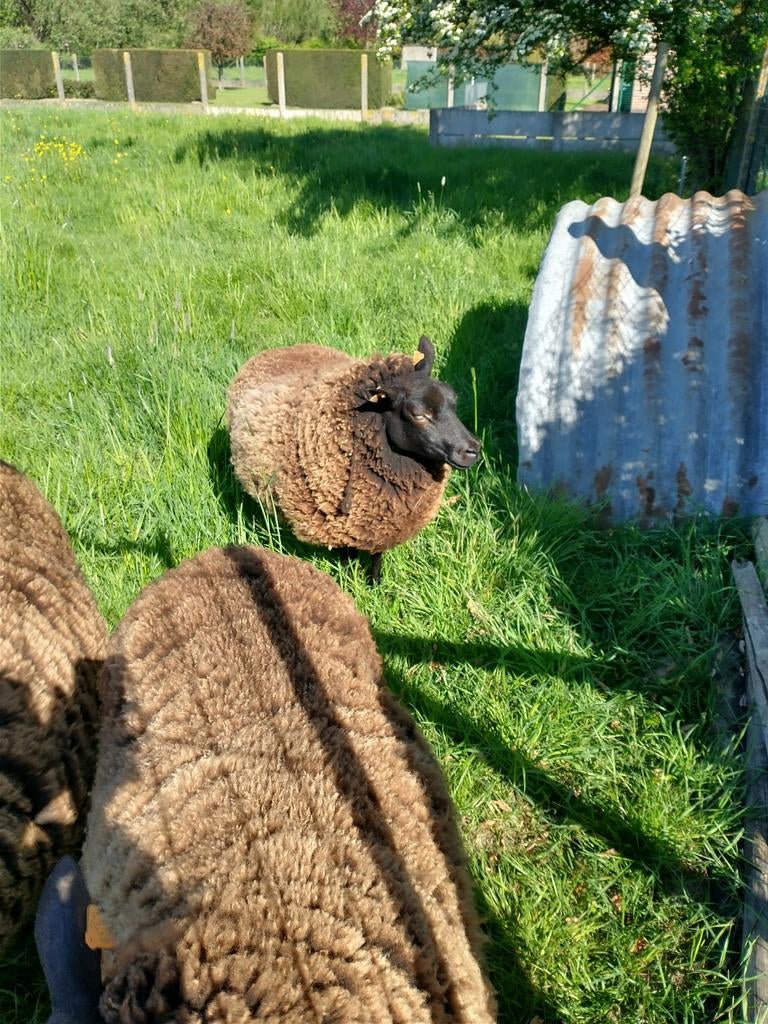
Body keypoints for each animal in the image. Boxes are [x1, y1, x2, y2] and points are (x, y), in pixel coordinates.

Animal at [226, 336, 481, 581]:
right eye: (418, 414)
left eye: (453, 401)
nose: (473, 450)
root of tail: (278, 350)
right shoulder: (340, 523)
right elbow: (348, 556)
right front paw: (352, 582)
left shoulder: (384, 521)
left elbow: (377, 555)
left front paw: (375, 583)